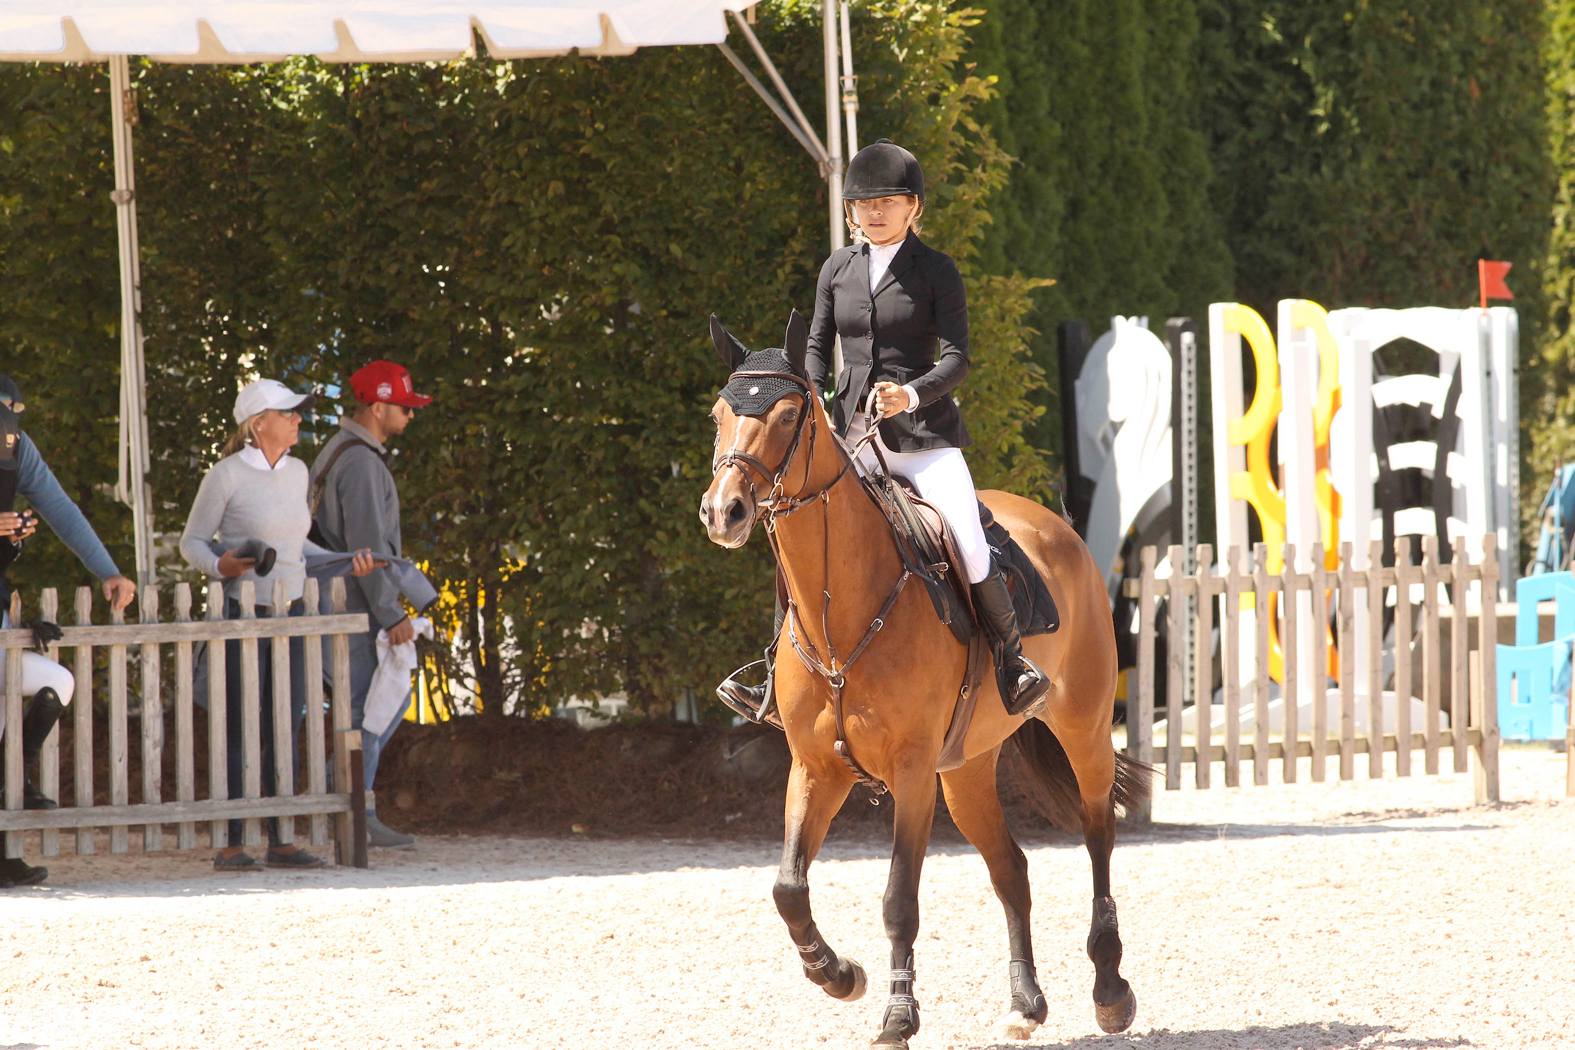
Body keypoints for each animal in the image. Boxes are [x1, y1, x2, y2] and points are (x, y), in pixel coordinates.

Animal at [697, 311, 1153, 1048]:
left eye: (789, 413)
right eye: (718, 414)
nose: (723, 512)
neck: (842, 614)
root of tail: (1054, 523)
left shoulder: (910, 774)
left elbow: (899, 899)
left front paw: (897, 1013)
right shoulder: (815, 768)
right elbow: (788, 887)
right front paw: (838, 975)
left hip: (1081, 730)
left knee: (1097, 839)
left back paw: (1110, 989)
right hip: (966, 768)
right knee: (1011, 867)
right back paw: (1025, 1004)